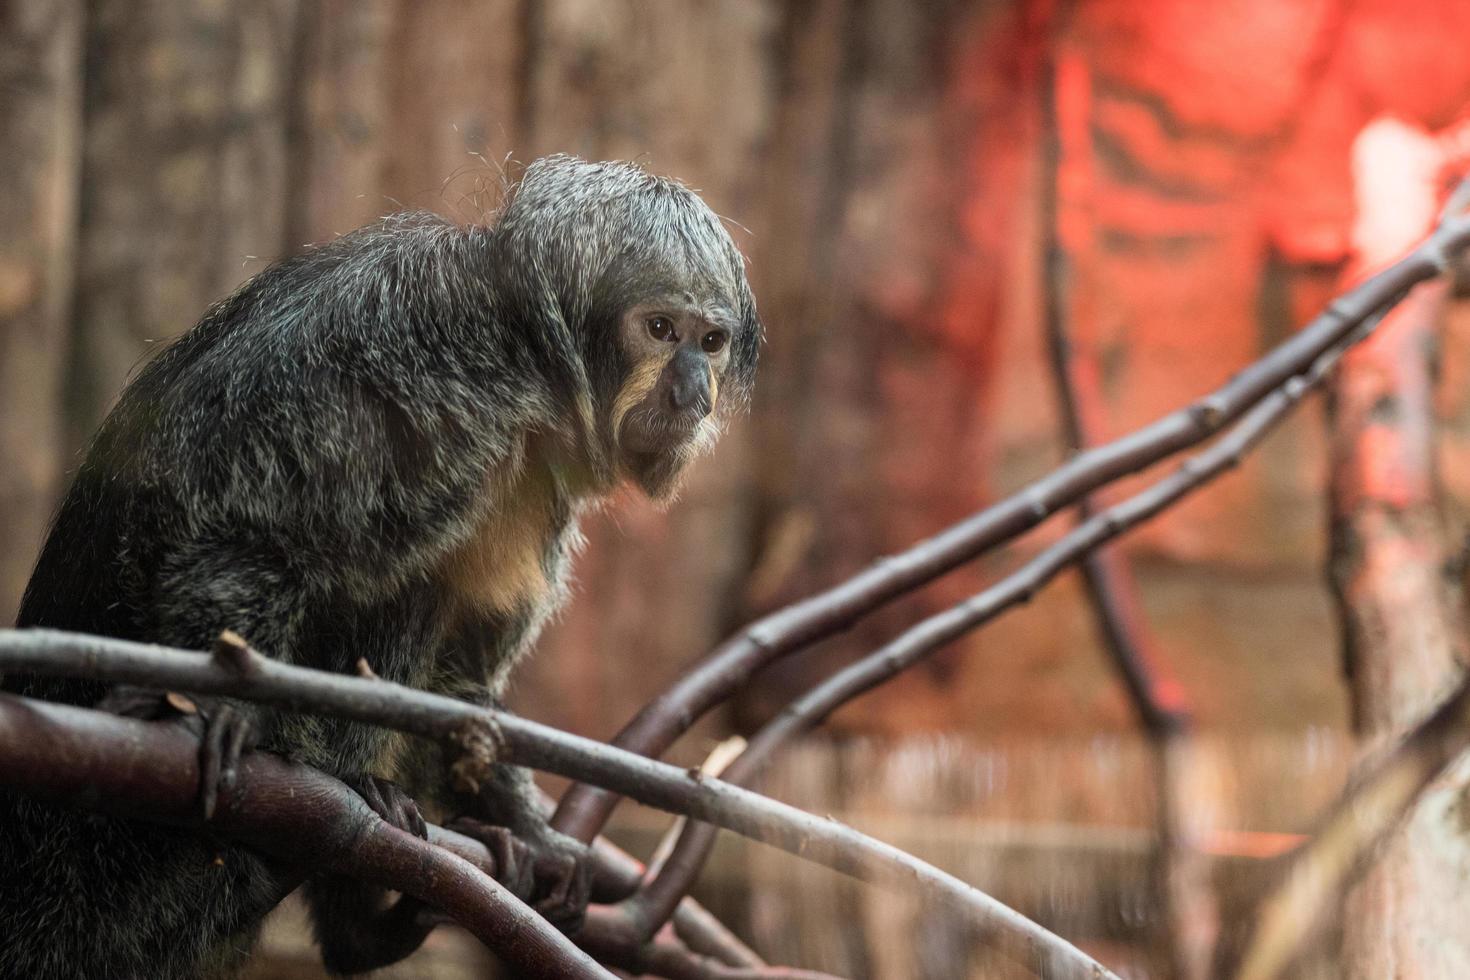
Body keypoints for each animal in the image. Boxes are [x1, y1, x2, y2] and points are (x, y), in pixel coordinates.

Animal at [0, 155, 758, 980]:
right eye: (660, 329)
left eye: (711, 340)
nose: (692, 390)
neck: (528, 362)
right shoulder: (419, 361)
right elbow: (237, 534)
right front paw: (213, 703)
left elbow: (463, 677)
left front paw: (529, 825)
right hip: (108, 866)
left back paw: (361, 925)